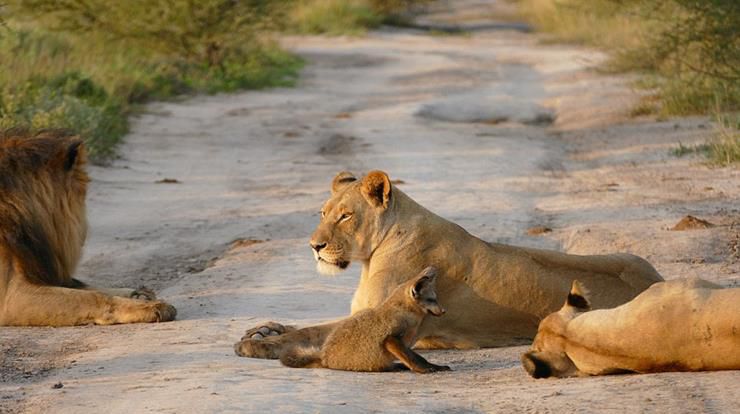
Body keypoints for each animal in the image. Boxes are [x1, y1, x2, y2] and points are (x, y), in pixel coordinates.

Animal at [0, 128, 176, 326]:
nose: (85, 234)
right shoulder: (11, 296)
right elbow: (92, 296)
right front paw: (152, 307)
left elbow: (88, 286)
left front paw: (140, 294)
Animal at [236, 170, 660, 358]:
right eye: (323, 213)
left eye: (345, 216)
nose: (315, 246)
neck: (373, 254)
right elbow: (302, 325)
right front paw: (264, 329)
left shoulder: (374, 320)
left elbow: (310, 332)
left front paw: (259, 345)